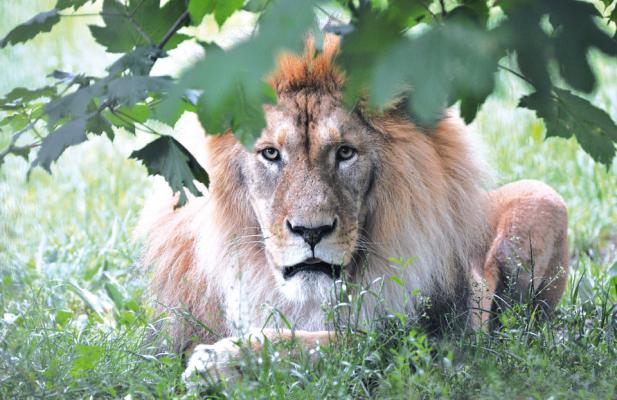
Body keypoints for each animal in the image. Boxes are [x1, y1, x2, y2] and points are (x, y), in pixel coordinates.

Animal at [138, 33, 568, 378]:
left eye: (345, 152)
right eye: (271, 154)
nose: (311, 231)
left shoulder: (438, 340)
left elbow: (341, 342)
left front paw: (224, 362)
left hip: (544, 199)